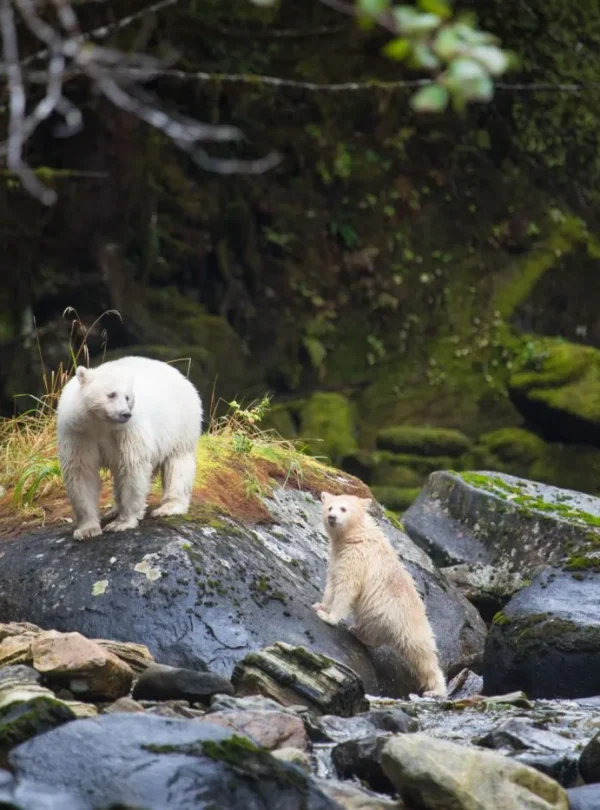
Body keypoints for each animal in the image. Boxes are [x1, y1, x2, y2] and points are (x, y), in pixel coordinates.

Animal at [56, 356, 203, 540]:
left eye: (127, 397)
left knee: (177, 463)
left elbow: (132, 467)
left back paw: (169, 507)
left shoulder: (126, 432)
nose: (125, 414)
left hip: (180, 423)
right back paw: (113, 510)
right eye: (111, 394)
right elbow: (81, 472)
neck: (100, 424)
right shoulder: (79, 433)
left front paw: (121, 523)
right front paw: (87, 529)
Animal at [314, 491, 446, 698]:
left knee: (422, 654)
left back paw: (435, 690)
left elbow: (347, 587)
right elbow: (332, 582)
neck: (357, 535)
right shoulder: (338, 556)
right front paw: (321, 606)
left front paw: (328, 617)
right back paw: (357, 631)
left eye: (343, 508)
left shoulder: (357, 557)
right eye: (330, 507)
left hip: (407, 622)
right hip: (379, 616)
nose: (332, 517)